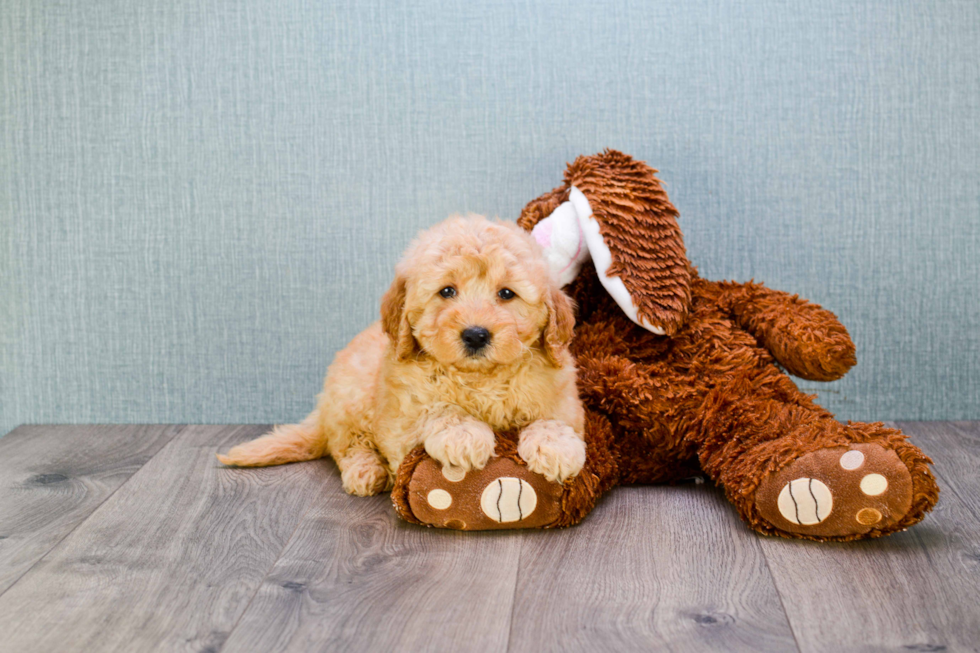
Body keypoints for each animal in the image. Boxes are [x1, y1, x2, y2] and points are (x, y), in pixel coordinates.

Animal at [218, 214, 584, 494]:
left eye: (507, 294)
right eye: (447, 291)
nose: (476, 334)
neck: (480, 377)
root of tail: (321, 413)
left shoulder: (564, 400)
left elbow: (552, 420)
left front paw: (557, 447)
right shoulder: (402, 418)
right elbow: (440, 410)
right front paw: (464, 436)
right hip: (352, 399)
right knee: (346, 444)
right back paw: (366, 471)